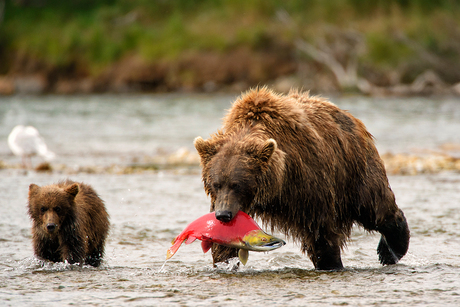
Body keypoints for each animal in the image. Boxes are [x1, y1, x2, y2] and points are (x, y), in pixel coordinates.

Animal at [194, 88, 410, 270]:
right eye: (216, 184)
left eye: (236, 185)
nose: (223, 214)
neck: (277, 185)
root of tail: (351, 117)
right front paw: (225, 261)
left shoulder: (307, 182)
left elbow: (320, 231)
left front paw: (330, 262)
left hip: (354, 170)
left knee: (374, 207)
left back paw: (390, 250)